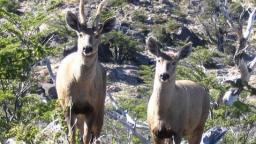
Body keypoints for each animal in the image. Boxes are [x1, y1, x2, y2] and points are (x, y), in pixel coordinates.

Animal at [56, 0, 116, 143]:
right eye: (80, 34)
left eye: (97, 35)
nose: (87, 48)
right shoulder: (68, 107)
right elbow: (72, 137)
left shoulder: (92, 109)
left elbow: (86, 137)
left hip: (100, 110)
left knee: (94, 135)